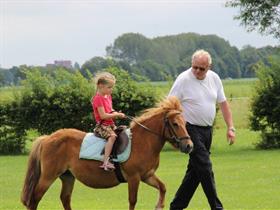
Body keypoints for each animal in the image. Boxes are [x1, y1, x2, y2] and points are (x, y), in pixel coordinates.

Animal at [21, 96, 192, 209]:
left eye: (185, 123)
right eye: (175, 124)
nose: (189, 146)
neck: (143, 142)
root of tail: (48, 138)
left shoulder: (147, 175)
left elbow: (163, 187)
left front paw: (159, 205)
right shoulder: (134, 178)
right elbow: (133, 200)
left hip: (67, 176)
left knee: (65, 198)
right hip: (48, 176)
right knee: (35, 198)